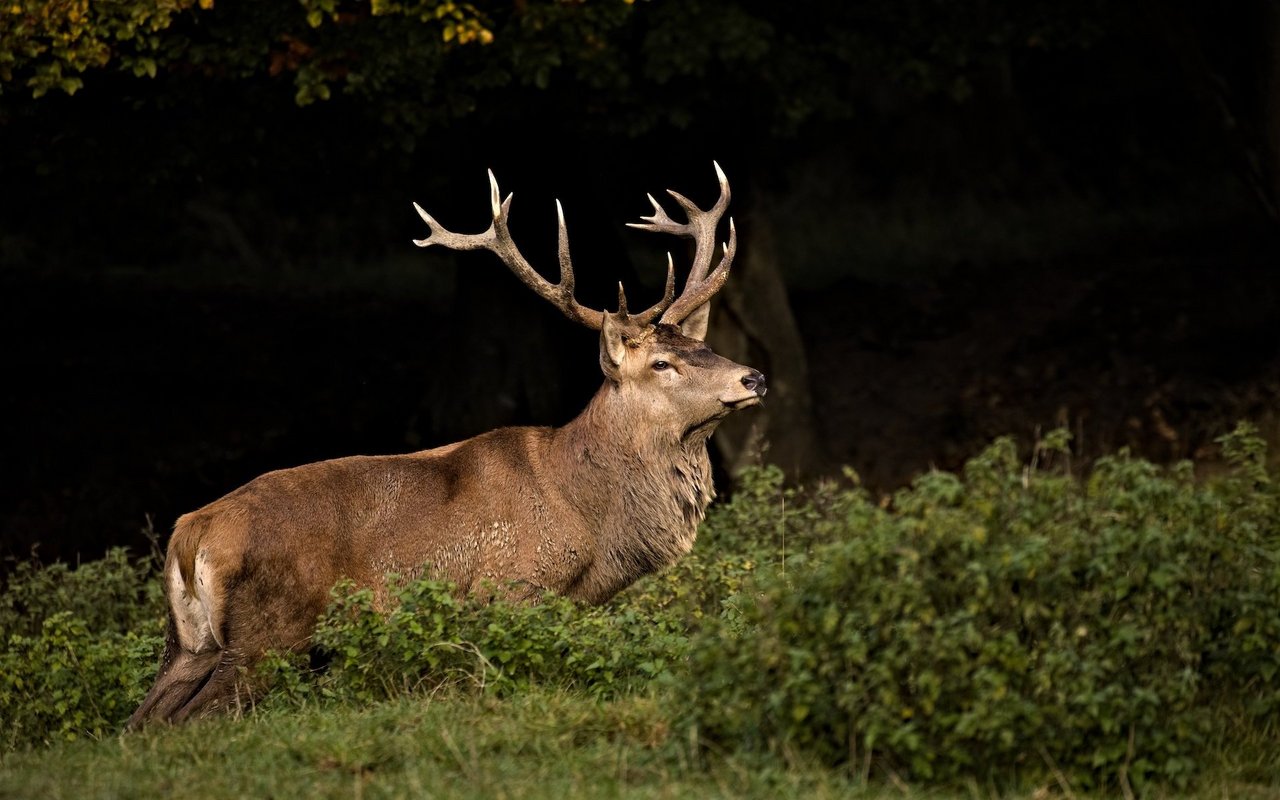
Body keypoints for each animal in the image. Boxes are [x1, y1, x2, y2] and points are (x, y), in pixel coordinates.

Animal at [129, 165, 762, 727]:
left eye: (702, 347)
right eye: (662, 364)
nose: (752, 376)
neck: (586, 518)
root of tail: (189, 536)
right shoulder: (511, 589)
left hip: (188, 643)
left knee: (143, 719)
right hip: (267, 635)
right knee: (198, 718)